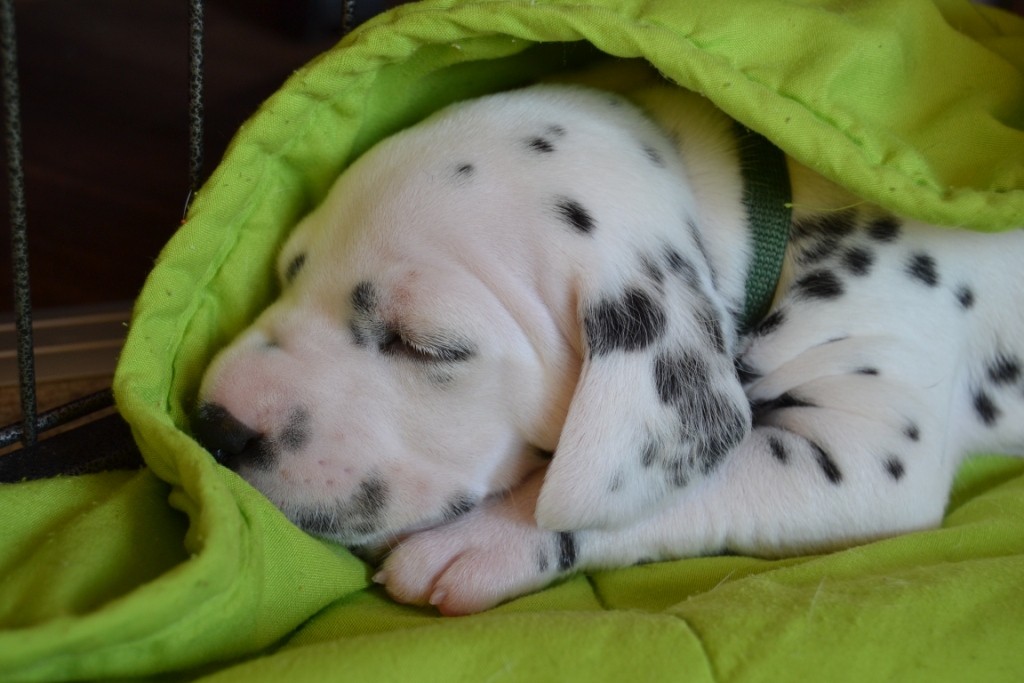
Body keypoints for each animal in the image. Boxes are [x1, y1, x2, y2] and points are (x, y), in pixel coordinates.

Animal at [192, 73, 1024, 614]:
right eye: (289, 272)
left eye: (427, 346)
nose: (213, 425)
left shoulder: (868, 448)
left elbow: (638, 491)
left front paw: (488, 540)